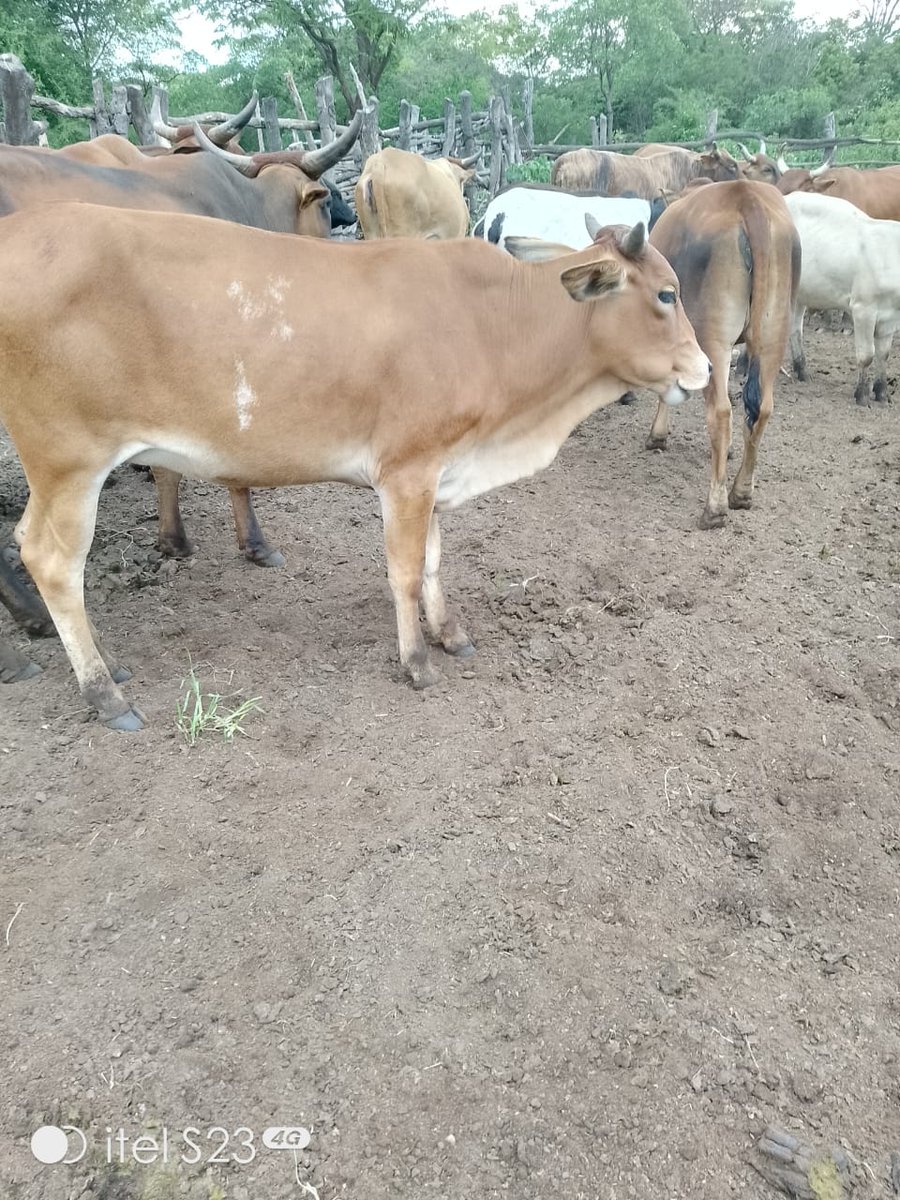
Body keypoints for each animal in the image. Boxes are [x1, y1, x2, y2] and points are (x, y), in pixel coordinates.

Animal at [0, 203, 709, 729]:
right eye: (666, 294)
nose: (704, 368)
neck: (493, 323)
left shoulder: (436, 468)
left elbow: (433, 560)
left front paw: (450, 633)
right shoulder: (406, 470)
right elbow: (404, 570)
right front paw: (417, 661)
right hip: (69, 462)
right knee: (51, 560)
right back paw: (105, 693)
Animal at [647, 181, 800, 528]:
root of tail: (746, 195)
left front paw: (657, 436)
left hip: (712, 335)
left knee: (720, 412)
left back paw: (714, 508)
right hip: (773, 332)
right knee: (761, 409)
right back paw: (741, 493)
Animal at [785, 190, 900, 405]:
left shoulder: (891, 316)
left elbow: (884, 354)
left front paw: (881, 393)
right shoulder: (863, 308)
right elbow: (867, 355)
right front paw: (861, 394)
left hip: (799, 293)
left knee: (794, 329)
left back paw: (802, 371)